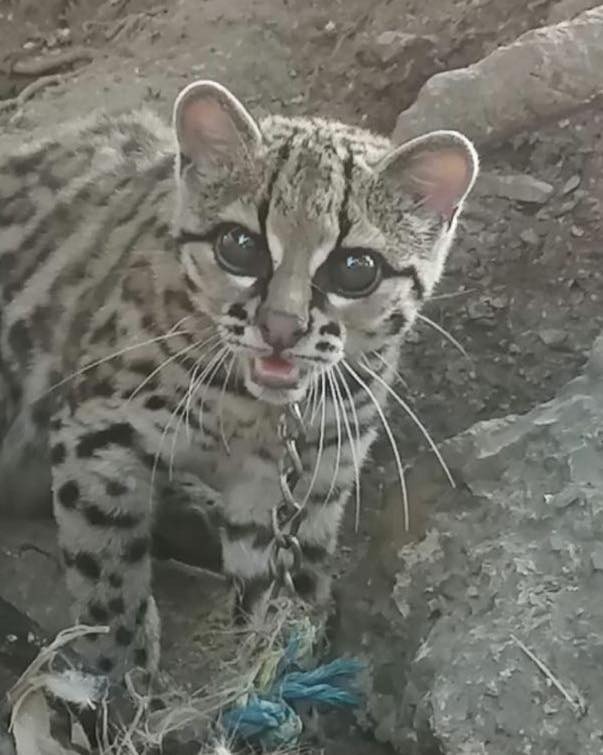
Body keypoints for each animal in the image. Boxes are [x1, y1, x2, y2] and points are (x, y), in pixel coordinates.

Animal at [0, 81, 482, 680]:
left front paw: (279, 662)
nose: (280, 328)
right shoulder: (94, 433)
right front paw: (119, 679)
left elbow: (273, 586)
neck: (254, 413)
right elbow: (107, 577)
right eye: (239, 245)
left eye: (356, 269)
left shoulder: (311, 470)